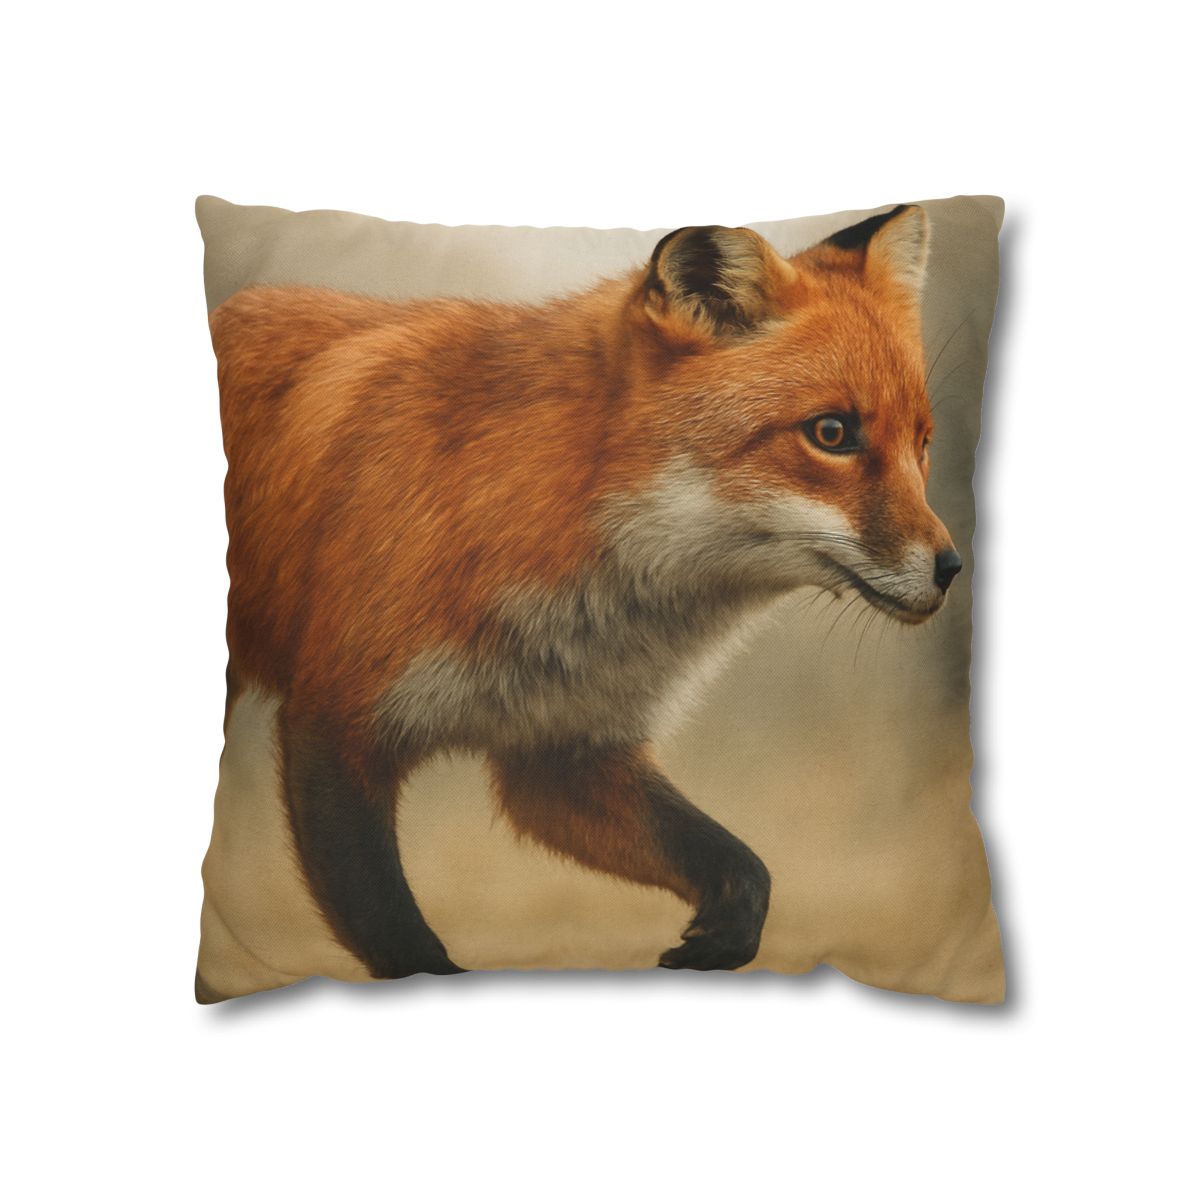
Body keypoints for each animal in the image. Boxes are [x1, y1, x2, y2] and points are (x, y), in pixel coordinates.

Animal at [206, 203, 962, 992]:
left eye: (922, 443)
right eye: (832, 434)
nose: (952, 567)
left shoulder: (562, 752)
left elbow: (743, 868)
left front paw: (719, 941)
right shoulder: (334, 727)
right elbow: (405, 945)